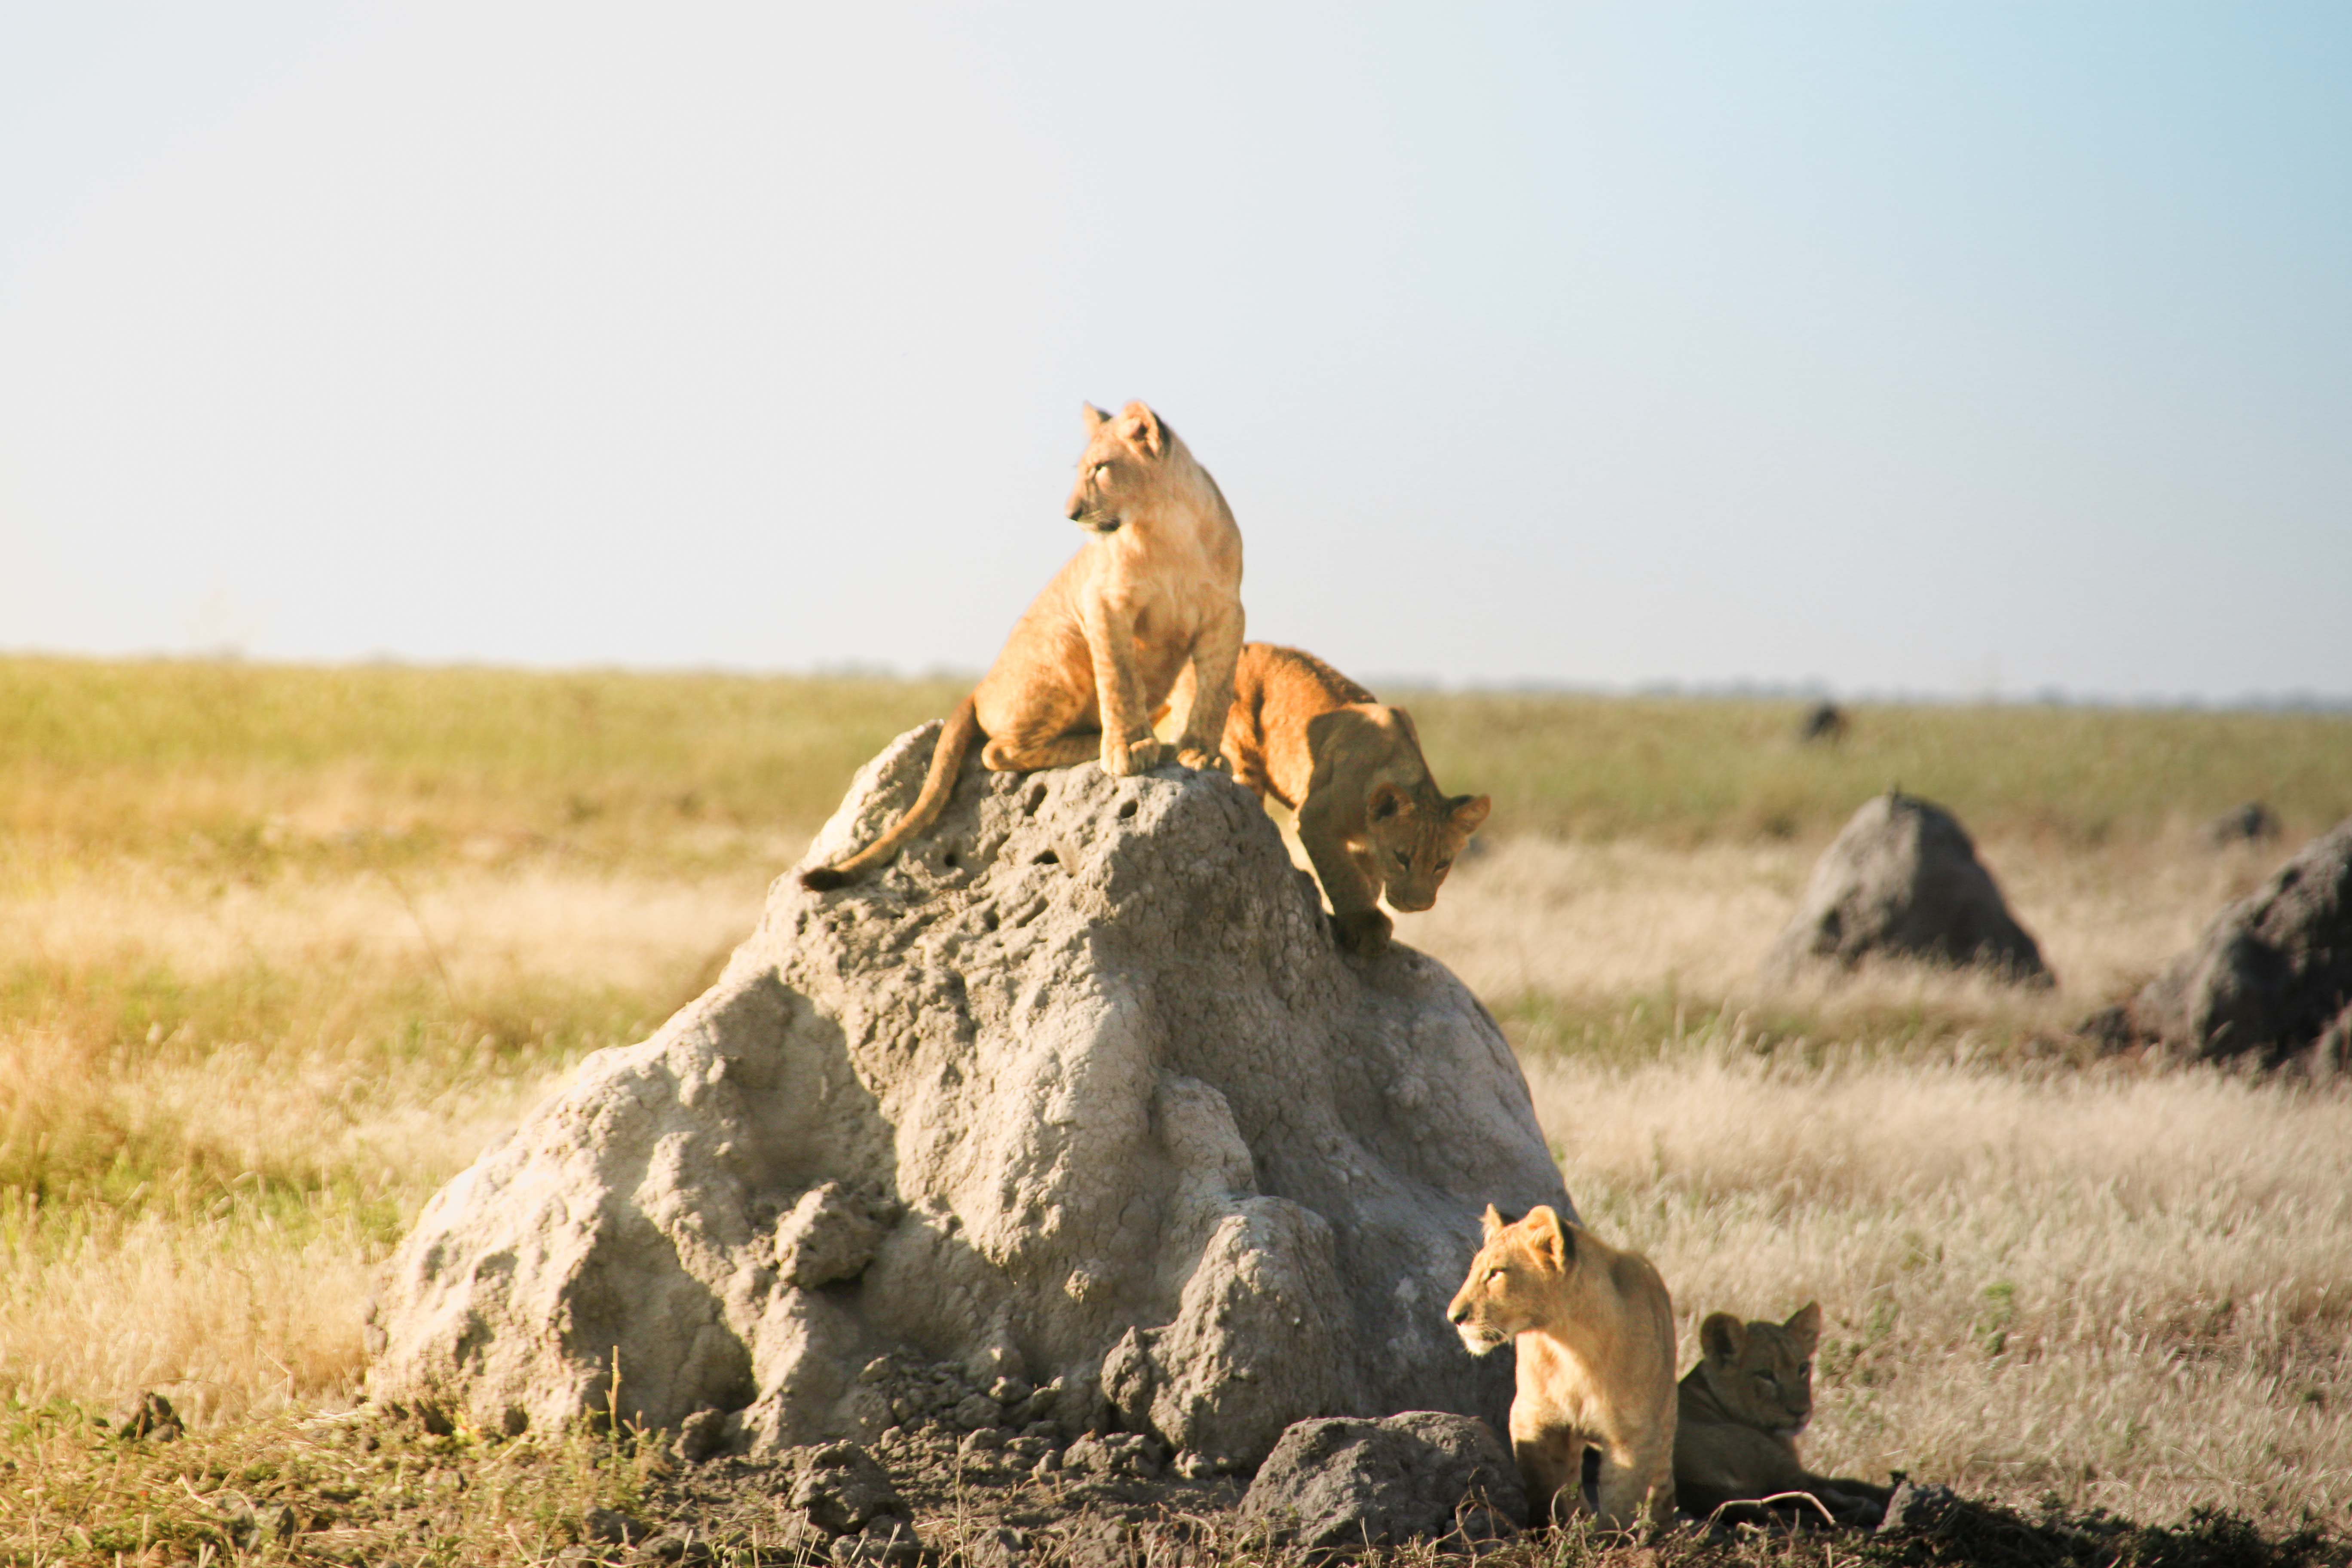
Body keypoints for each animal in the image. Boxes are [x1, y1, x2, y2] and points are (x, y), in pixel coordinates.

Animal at [801, 402, 1245, 889]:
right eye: (1082, 470)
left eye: (1101, 468)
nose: (1071, 513)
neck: (1168, 528)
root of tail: (975, 690)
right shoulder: (1103, 603)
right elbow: (1120, 679)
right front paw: (1129, 751)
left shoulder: (1227, 612)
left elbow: (1216, 689)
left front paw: (1202, 753)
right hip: (1062, 647)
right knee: (998, 752)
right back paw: (1105, 745)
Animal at [1167, 643, 1489, 952]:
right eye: (1402, 858)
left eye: (1442, 864)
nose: (1417, 905)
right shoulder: (1314, 817)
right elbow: (1343, 874)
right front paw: (1364, 926)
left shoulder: (1365, 846)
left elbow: (1368, 880)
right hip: (1236, 747)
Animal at [1447, 1204, 1677, 1531]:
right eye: (1473, 1270)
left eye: (1496, 1273)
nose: (1454, 1317)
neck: (1573, 1346)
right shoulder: (1533, 1417)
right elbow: (1545, 1486)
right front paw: (1554, 1530)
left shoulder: (1632, 1435)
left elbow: (1620, 1501)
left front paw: (1610, 1538)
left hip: (1664, 1419)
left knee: (1662, 1482)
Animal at [1673, 1303, 1891, 1526]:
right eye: (1765, 1374)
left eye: (1803, 1368)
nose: (1800, 1412)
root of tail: (1684, 1483)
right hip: (1765, 1456)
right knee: (1810, 1496)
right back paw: (1868, 1508)